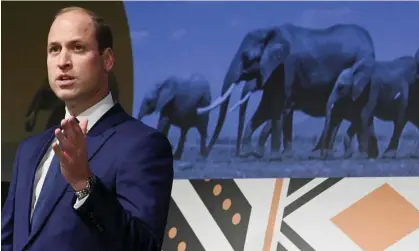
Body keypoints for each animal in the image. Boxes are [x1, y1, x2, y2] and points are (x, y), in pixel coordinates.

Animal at [197, 23, 378, 159]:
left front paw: (278, 156)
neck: (271, 32)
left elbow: (281, 107)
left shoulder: (288, 67)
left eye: (246, 57)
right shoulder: (275, 73)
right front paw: (252, 154)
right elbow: (266, 108)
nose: (204, 155)